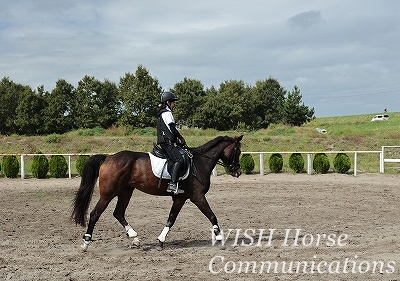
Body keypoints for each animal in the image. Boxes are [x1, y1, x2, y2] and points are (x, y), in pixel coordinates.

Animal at [70, 135, 242, 250]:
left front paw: (161, 240)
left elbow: (171, 219)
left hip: (125, 192)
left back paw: (135, 238)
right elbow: (212, 216)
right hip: (108, 194)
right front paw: (220, 239)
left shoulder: (180, 198)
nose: (238, 172)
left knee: (118, 213)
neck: (199, 162)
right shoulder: (198, 197)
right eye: (237, 151)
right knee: (95, 214)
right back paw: (86, 243)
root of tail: (108, 157)